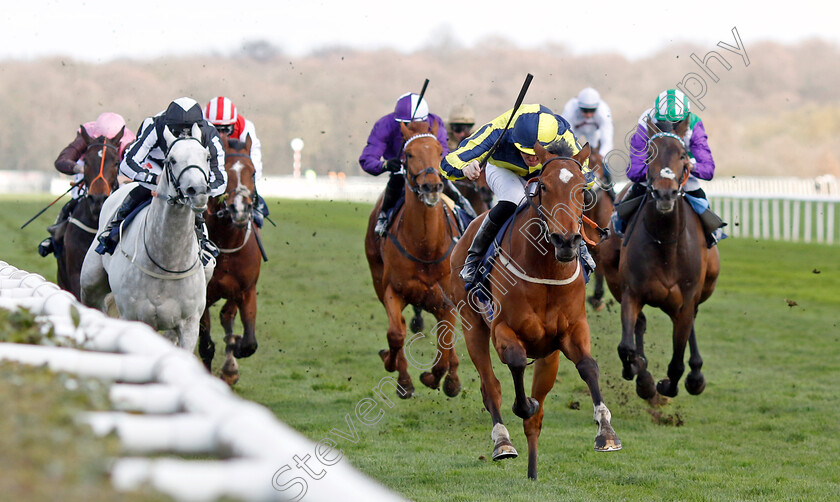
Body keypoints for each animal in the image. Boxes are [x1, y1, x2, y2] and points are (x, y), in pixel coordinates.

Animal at [81, 124, 215, 352]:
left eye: (206, 157)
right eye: (172, 159)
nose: (197, 191)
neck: (166, 262)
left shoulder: (189, 325)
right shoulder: (133, 318)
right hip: (89, 283)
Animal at [364, 119, 462, 398]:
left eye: (440, 152)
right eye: (408, 154)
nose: (431, 186)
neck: (425, 248)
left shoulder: (446, 302)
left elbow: (445, 344)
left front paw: (439, 378)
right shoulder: (393, 291)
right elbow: (396, 334)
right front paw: (401, 375)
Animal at [446, 140, 624, 478]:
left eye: (583, 189)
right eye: (543, 186)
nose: (566, 241)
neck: (546, 270)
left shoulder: (572, 329)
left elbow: (589, 366)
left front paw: (606, 431)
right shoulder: (502, 329)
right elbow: (515, 363)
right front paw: (522, 405)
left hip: (548, 357)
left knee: (536, 416)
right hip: (472, 325)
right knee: (491, 386)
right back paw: (503, 441)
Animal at [596, 117, 720, 400]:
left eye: (683, 155)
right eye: (650, 155)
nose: (666, 193)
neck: (666, 244)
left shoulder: (686, 300)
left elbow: (676, 362)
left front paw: (670, 384)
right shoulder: (631, 292)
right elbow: (626, 347)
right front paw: (642, 377)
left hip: (705, 286)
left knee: (691, 324)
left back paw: (696, 375)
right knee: (639, 325)